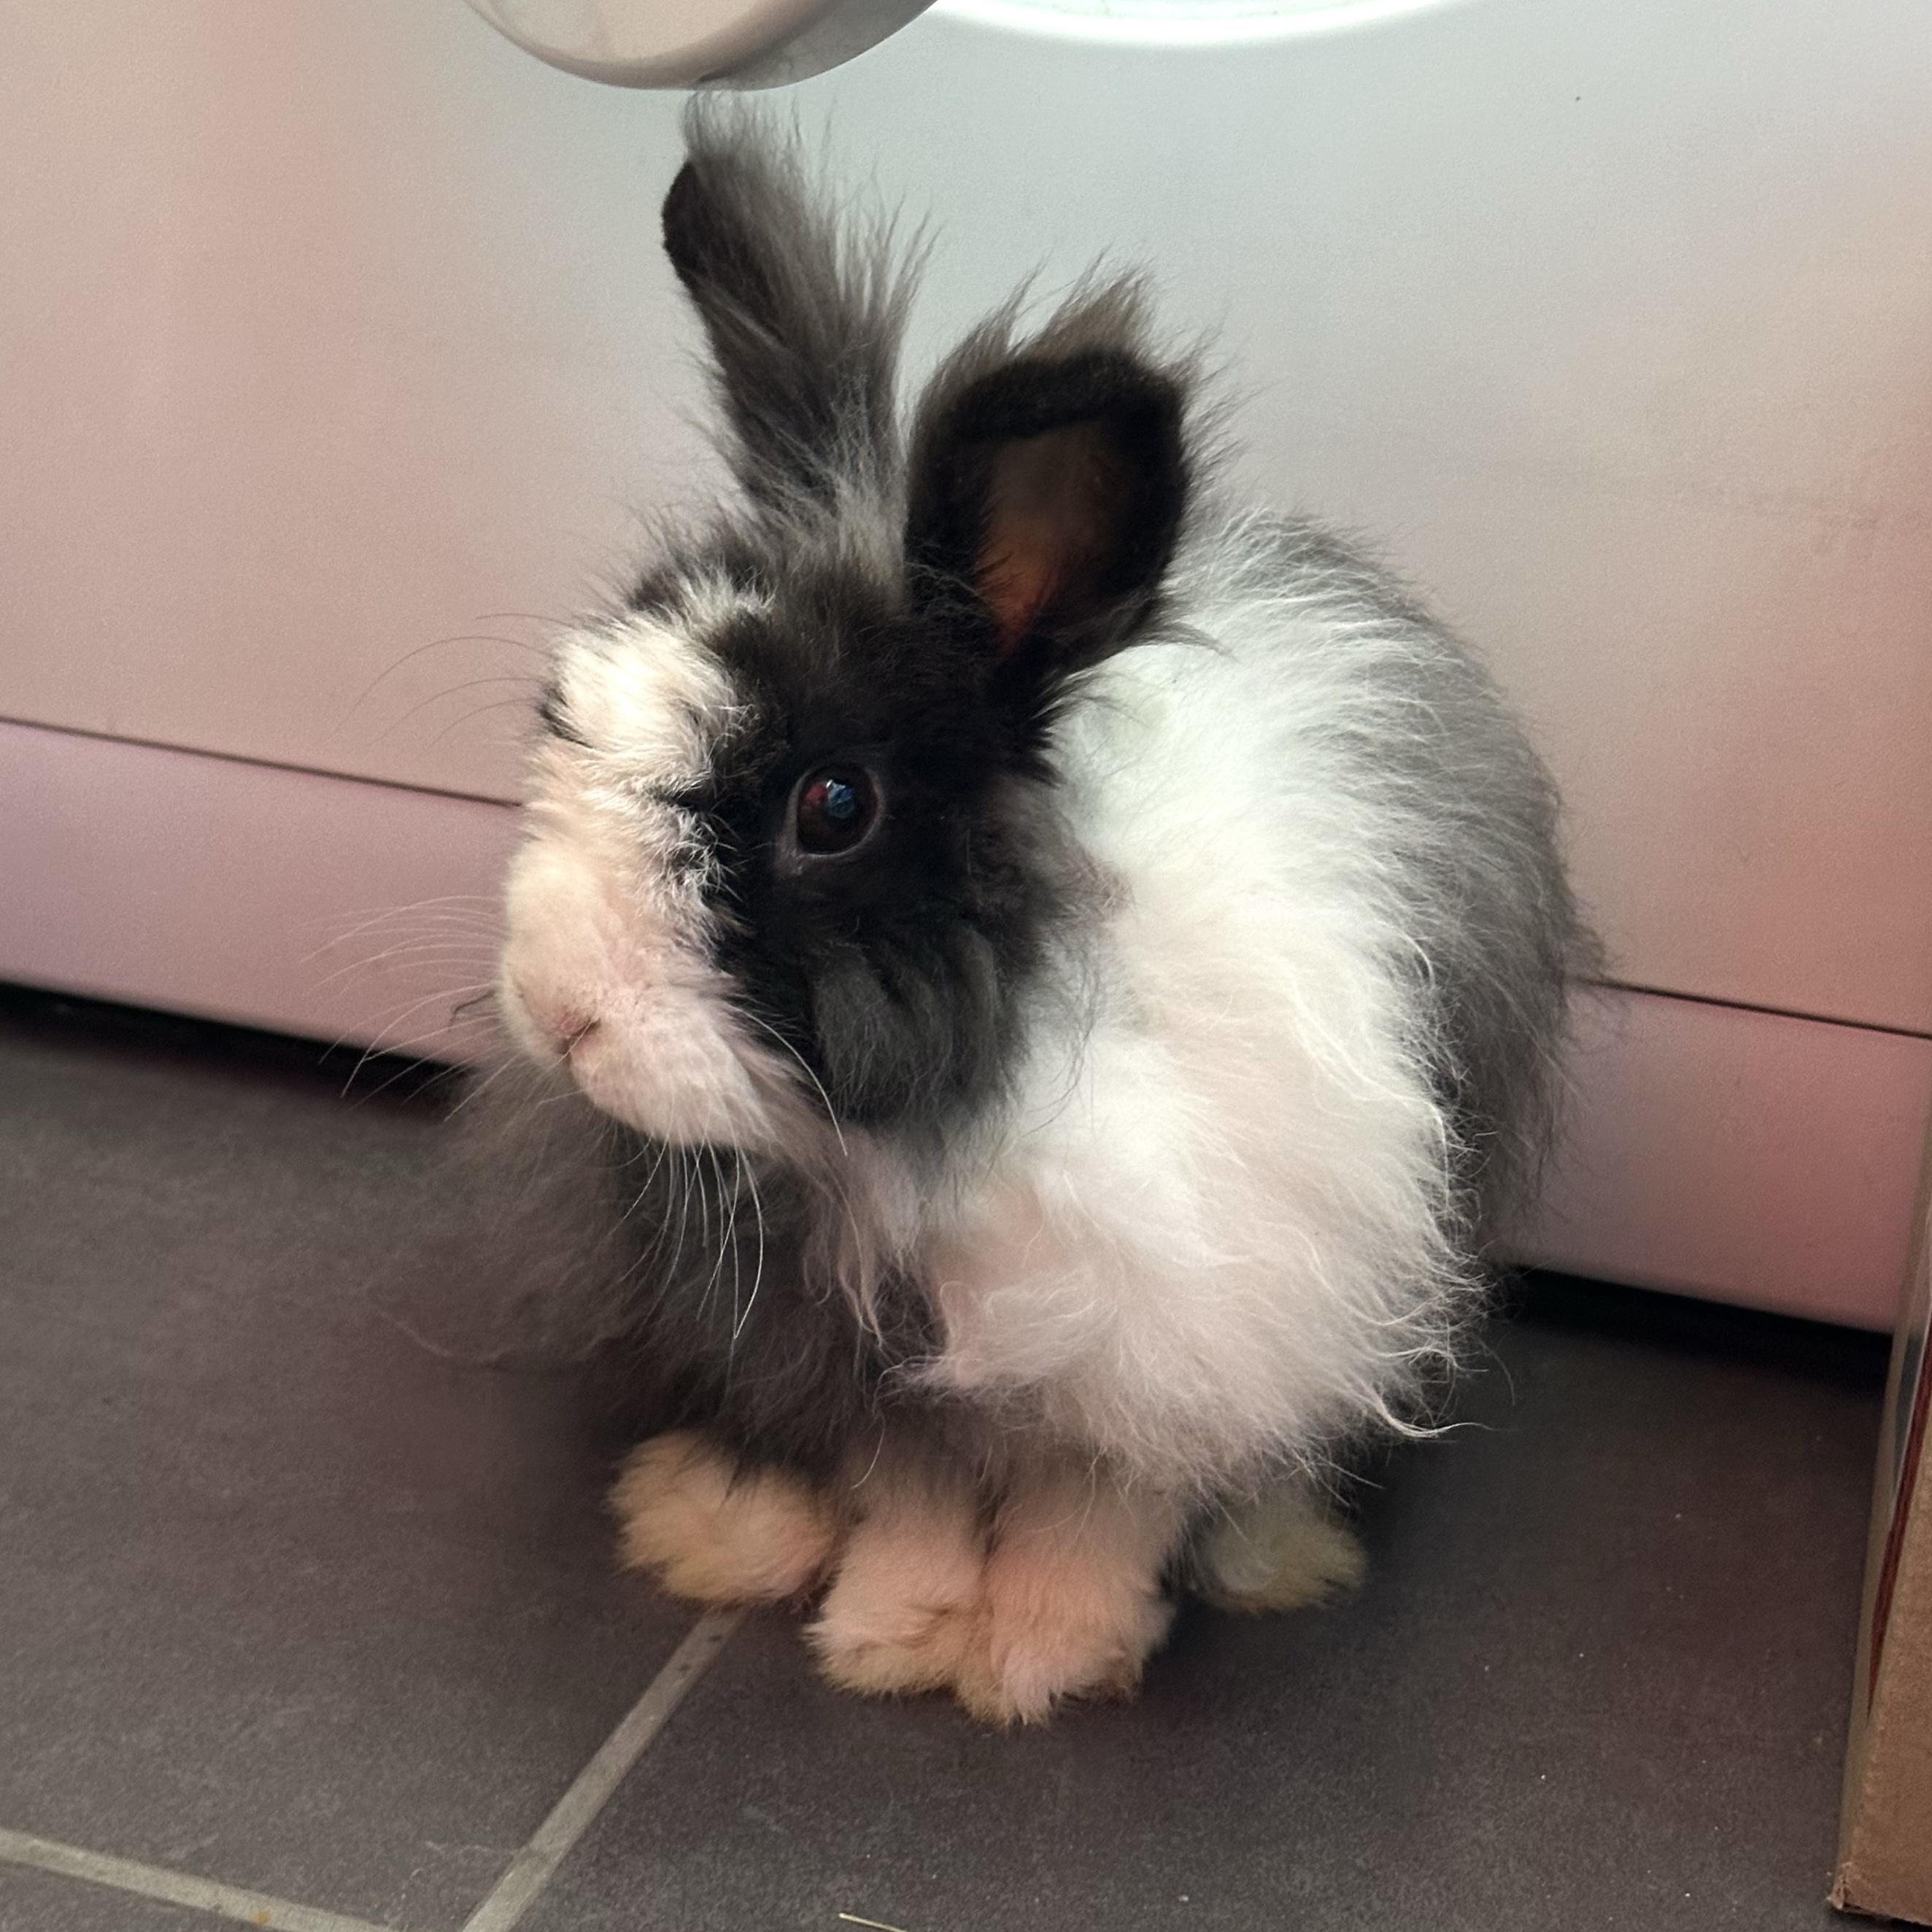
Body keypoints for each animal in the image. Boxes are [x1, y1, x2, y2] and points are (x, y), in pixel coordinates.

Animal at [482, 104, 1592, 1726]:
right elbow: (908, 1494)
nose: (556, 1011)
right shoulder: (852, 1344)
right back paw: (715, 1528)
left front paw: (1043, 1660)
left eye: (833, 804)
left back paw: (1272, 1554)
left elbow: (1099, 1506)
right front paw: (891, 1637)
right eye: (563, 706)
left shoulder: (1185, 1330)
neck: (955, 1107)